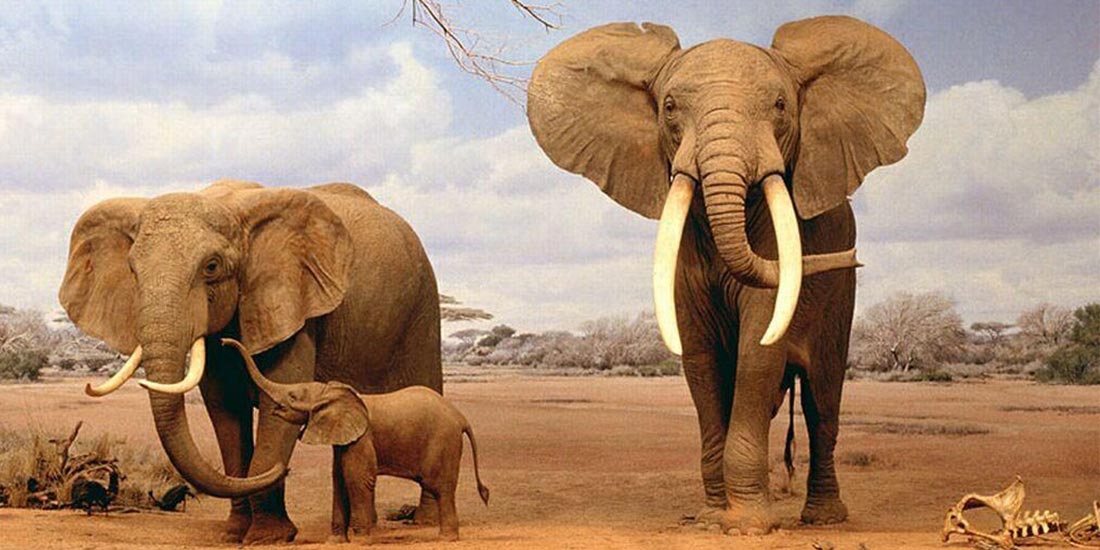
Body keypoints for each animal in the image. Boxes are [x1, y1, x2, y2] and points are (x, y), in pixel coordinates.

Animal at [58, 180, 443, 543]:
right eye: (132, 270)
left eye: (212, 267)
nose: (284, 470)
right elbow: (225, 412)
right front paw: (234, 534)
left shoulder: (291, 304)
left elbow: (277, 400)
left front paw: (267, 537)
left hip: (423, 306)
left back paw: (426, 523)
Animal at [223, 337, 489, 543]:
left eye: (293, 395)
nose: (224, 342)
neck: (331, 392)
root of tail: (461, 418)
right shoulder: (343, 440)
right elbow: (339, 479)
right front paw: (335, 541)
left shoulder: (362, 439)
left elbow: (357, 479)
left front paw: (361, 541)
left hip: (443, 442)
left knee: (441, 487)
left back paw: (446, 539)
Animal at [527, 16, 925, 534]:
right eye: (670, 107)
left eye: (780, 106)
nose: (853, 257)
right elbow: (700, 358)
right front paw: (711, 518)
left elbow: (759, 350)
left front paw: (747, 526)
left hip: (841, 299)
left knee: (822, 403)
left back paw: (823, 519)